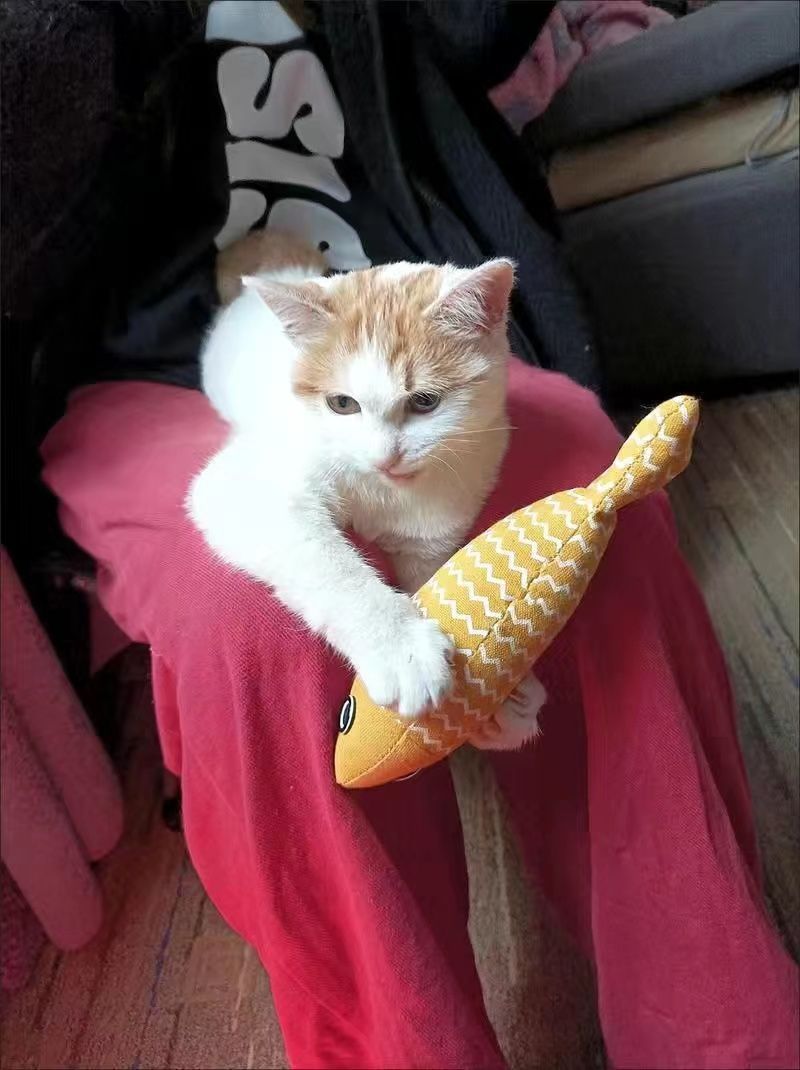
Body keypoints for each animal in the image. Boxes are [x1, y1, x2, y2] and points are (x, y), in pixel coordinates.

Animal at [189, 232, 545, 748]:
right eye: (342, 404)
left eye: (425, 401)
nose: (385, 457)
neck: (387, 490)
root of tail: (283, 272)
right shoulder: (247, 485)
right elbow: (327, 564)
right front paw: (399, 646)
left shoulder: (431, 535)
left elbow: (442, 581)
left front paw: (503, 696)